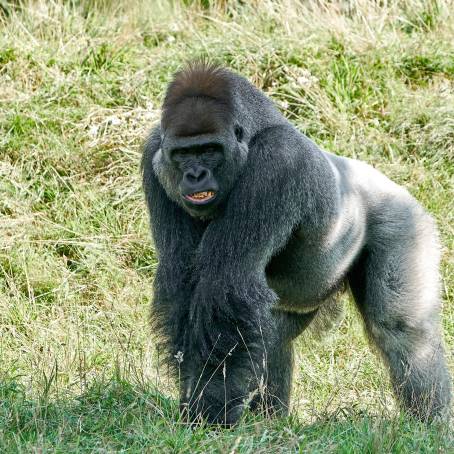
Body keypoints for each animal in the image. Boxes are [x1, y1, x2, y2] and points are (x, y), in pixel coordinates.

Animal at [141, 61, 450, 426]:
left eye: (209, 150)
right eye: (183, 154)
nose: (195, 175)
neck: (254, 130)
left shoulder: (279, 161)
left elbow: (225, 285)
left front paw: (209, 411)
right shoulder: (154, 156)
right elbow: (182, 279)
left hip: (404, 219)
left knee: (403, 330)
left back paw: (432, 423)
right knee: (274, 335)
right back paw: (269, 422)